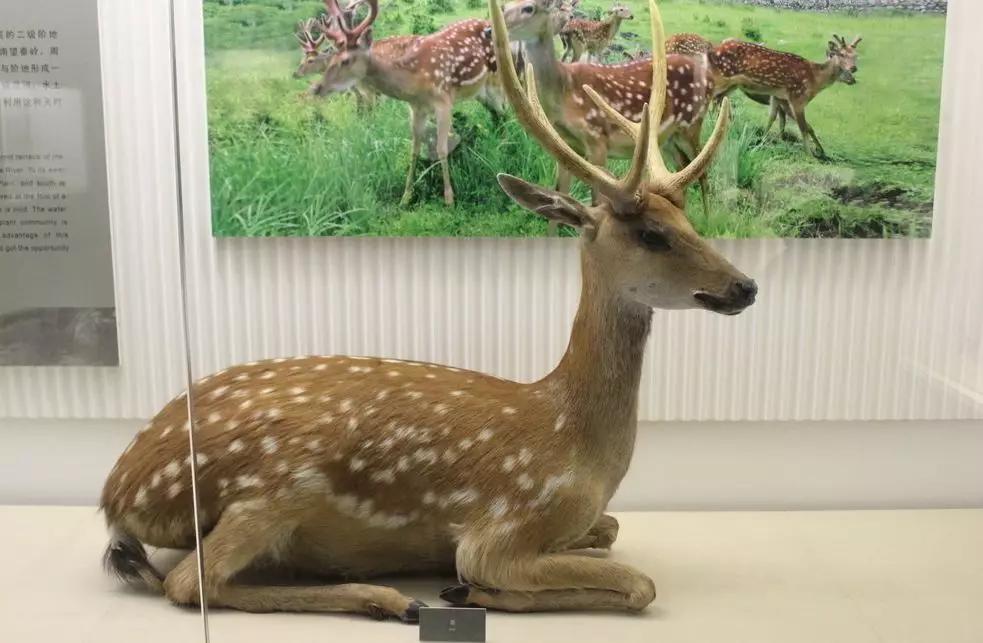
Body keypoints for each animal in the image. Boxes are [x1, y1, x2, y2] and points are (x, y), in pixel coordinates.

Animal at [308, 0, 502, 207]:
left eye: (345, 61)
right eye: (331, 59)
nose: (317, 88)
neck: (414, 81)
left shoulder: (443, 101)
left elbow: (441, 149)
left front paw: (449, 198)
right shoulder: (417, 108)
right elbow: (414, 150)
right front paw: (406, 196)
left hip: (496, 77)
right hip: (480, 91)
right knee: (498, 113)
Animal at [498, 0, 718, 230]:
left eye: (529, 8)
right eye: (505, 6)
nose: (493, 27)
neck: (563, 90)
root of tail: (711, 78)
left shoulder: (597, 138)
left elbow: (596, 201)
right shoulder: (568, 142)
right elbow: (559, 194)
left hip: (692, 124)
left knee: (702, 168)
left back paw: (707, 219)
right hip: (667, 139)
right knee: (681, 167)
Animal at [708, 35, 862, 158]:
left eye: (855, 55)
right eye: (841, 54)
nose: (853, 71)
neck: (815, 80)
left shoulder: (779, 97)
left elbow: (776, 119)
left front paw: (767, 140)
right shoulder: (797, 97)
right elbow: (804, 128)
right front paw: (810, 154)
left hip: (732, 85)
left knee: (718, 100)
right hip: (722, 78)